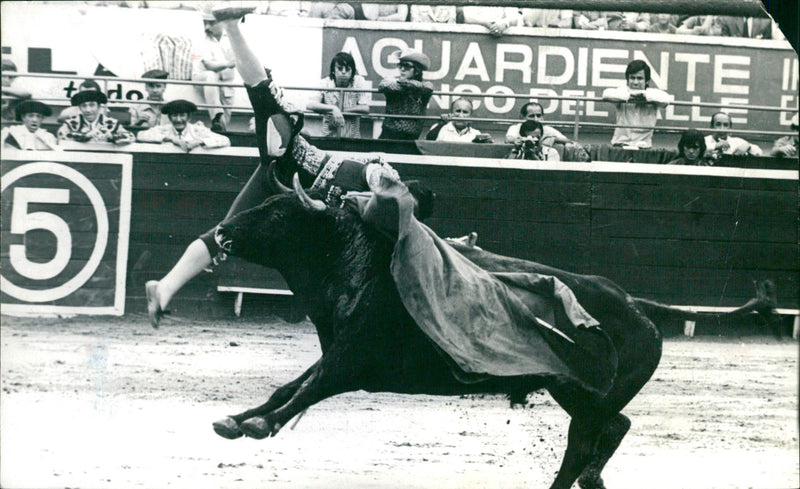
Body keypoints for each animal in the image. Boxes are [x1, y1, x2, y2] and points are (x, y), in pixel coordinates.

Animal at [209, 175, 780, 488]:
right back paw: (591, 481)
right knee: (614, 428)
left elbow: (308, 389)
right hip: (576, 393)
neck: (361, 263)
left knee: (587, 440)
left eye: (277, 212)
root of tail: (635, 305)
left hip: (585, 396)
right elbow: (291, 385)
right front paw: (235, 420)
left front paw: (259, 425)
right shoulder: (338, 350)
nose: (222, 231)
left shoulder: (355, 361)